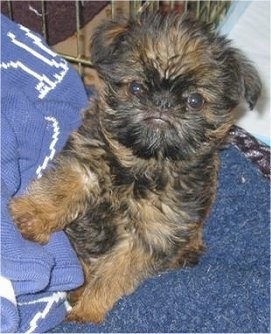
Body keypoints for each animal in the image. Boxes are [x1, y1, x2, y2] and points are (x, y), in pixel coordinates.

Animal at [9, 13, 262, 324]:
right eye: (137, 88)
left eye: (195, 101)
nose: (162, 102)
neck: (142, 166)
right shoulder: (85, 162)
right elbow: (62, 187)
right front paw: (30, 217)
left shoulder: (149, 236)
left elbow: (113, 275)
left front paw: (87, 310)